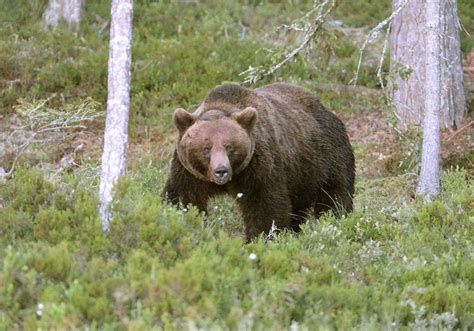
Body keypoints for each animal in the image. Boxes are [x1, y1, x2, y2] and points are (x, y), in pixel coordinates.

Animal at [161, 84, 354, 243]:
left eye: (229, 146)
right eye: (206, 148)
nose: (221, 170)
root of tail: (327, 110)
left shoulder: (258, 166)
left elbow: (264, 205)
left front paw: (260, 238)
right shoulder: (189, 172)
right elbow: (185, 198)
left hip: (327, 159)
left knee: (335, 197)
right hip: (301, 175)